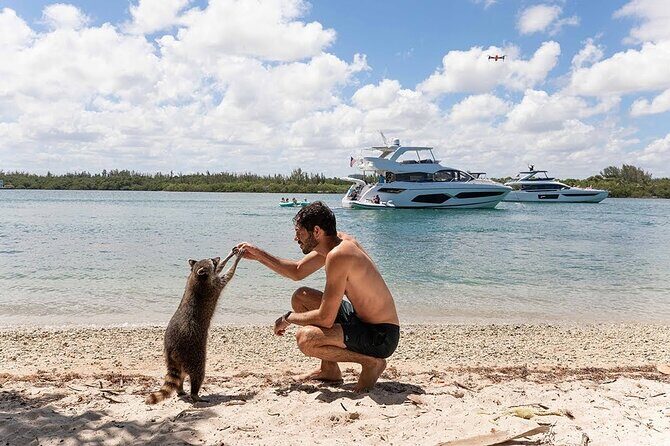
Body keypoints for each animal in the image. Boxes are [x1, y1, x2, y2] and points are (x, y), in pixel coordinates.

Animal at [146, 248, 244, 404]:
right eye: (212, 261)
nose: (217, 257)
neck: (197, 276)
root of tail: (171, 348)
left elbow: (220, 270)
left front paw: (229, 255)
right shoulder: (213, 286)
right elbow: (227, 275)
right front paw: (236, 259)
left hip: (175, 358)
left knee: (180, 375)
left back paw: (180, 389)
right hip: (193, 353)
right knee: (198, 373)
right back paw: (195, 394)